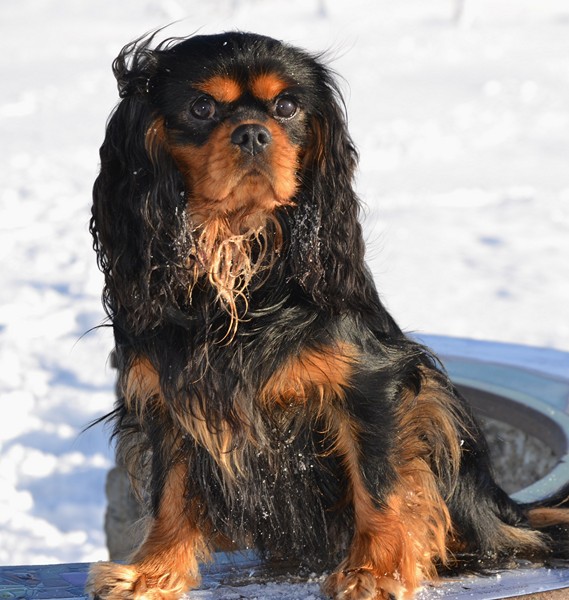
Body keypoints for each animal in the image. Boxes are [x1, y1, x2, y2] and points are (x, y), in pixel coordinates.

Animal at [87, 31, 569, 600]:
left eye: (286, 107)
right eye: (202, 107)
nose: (253, 133)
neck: (236, 256)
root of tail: (501, 508)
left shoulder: (376, 383)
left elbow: (379, 482)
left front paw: (374, 572)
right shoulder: (172, 395)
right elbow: (171, 492)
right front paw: (152, 572)